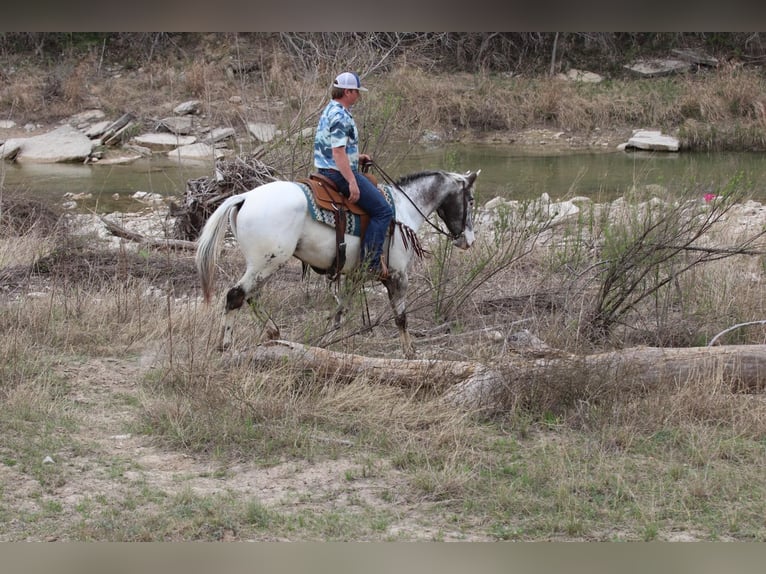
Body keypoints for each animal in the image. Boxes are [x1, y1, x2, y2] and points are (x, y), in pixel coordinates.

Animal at [195, 169, 480, 359]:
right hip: (267, 263)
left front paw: (325, 346)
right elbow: (401, 317)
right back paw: (225, 346)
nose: (469, 240)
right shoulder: (398, 276)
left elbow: (340, 314)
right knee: (236, 296)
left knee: (251, 297)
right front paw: (410, 353)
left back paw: (274, 333)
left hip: (261, 265)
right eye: (471, 200)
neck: (403, 210)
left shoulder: (355, 276)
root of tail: (244, 197)